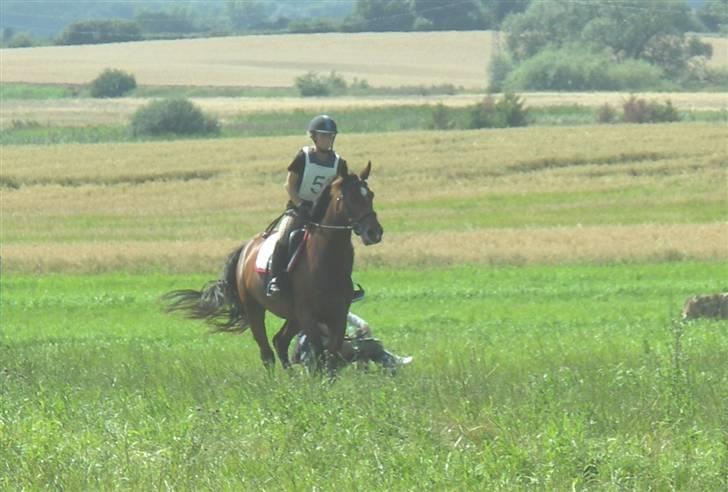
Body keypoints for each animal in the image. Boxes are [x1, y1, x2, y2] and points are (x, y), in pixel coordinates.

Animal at [163, 161, 384, 372]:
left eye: (371, 195)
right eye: (350, 197)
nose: (374, 232)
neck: (326, 262)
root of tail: (246, 248)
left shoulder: (338, 316)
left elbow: (331, 360)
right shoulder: (308, 316)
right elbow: (319, 356)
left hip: (293, 318)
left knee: (280, 342)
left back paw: (292, 378)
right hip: (255, 308)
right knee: (266, 352)